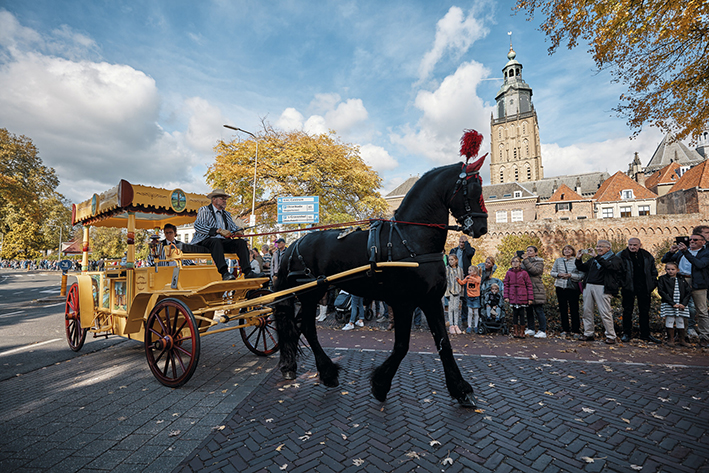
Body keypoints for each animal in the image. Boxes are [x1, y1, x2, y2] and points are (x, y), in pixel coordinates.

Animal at [276, 158, 486, 406]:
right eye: (473, 189)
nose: (482, 227)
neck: (411, 240)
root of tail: (294, 245)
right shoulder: (404, 303)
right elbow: (402, 347)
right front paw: (380, 384)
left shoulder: (431, 300)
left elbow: (444, 344)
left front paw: (461, 390)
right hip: (310, 295)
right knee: (307, 327)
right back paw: (327, 373)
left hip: (312, 294)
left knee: (297, 325)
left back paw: (290, 366)